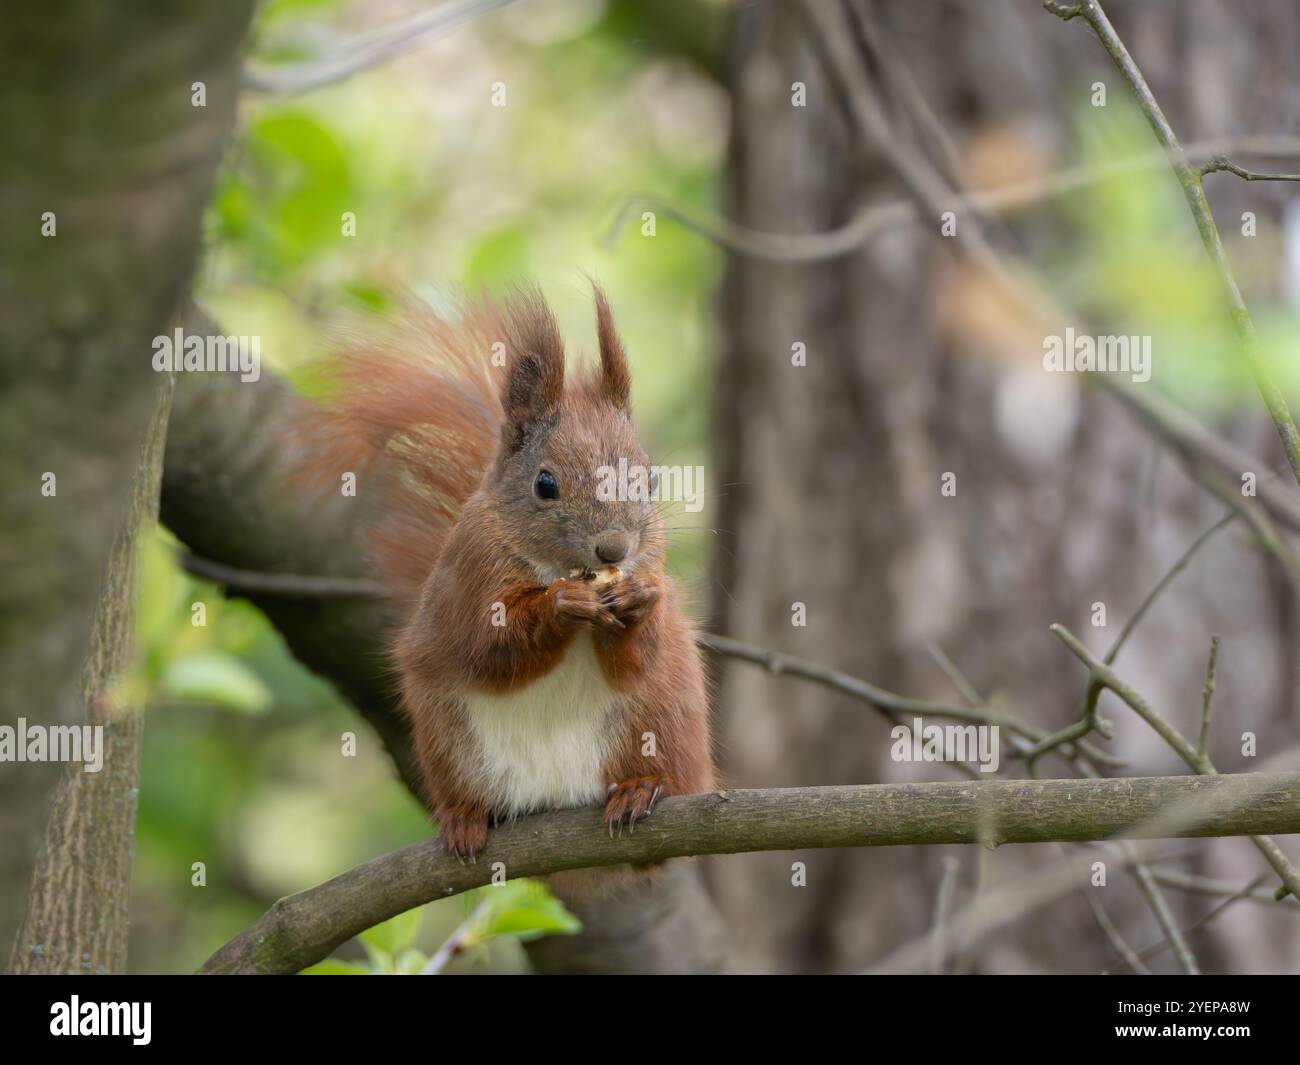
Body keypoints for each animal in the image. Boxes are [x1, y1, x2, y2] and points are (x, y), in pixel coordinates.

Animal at [304, 285, 716, 860]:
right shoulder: (469, 572)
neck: (557, 567)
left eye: (652, 479)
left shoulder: (651, 570)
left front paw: (637, 601)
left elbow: (638, 657)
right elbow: (488, 645)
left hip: (659, 717)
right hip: (447, 738)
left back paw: (640, 788)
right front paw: (562, 607)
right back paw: (466, 818)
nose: (613, 550)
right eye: (545, 484)